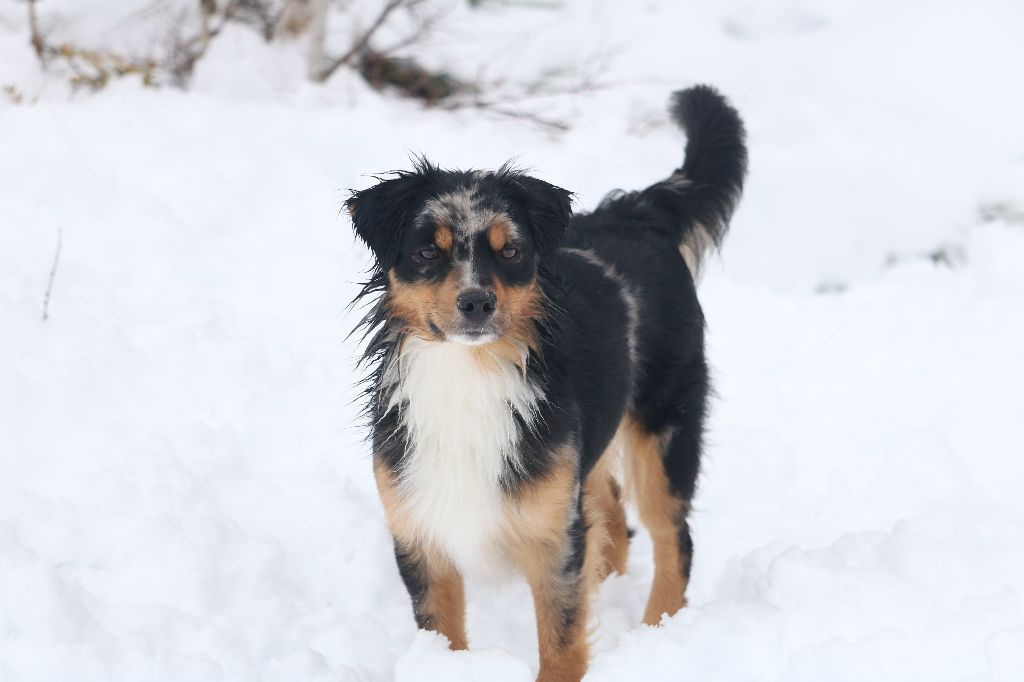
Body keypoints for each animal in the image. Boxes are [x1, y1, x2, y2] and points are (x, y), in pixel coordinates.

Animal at [348, 84, 749, 679]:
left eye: (511, 251)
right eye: (427, 251)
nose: (476, 301)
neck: (469, 374)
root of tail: (638, 213)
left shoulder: (553, 535)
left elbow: (562, 644)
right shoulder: (419, 528)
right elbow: (443, 635)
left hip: (665, 426)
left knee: (672, 536)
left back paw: (660, 631)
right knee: (612, 512)